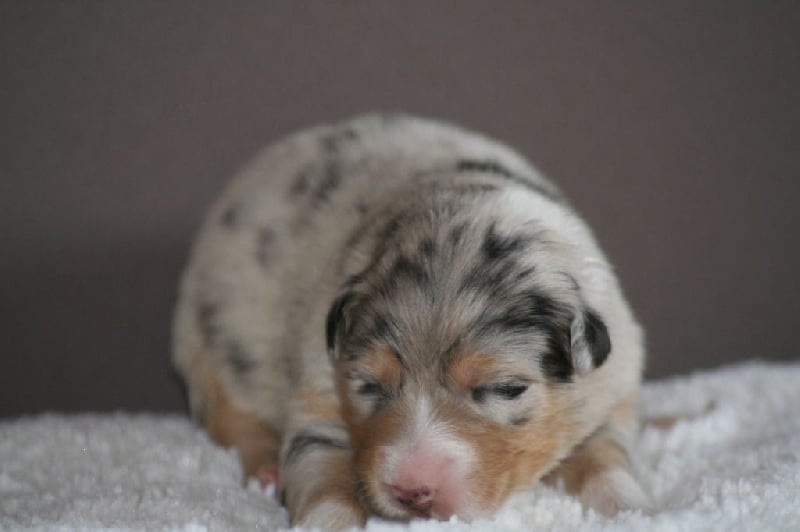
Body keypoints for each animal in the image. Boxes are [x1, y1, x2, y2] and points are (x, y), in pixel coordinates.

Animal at [173, 114, 648, 524]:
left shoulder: (610, 391)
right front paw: (328, 520)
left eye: (504, 388)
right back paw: (264, 470)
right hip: (214, 335)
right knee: (231, 417)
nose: (412, 492)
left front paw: (629, 507)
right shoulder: (319, 391)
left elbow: (605, 456)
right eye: (369, 385)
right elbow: (321, 473)